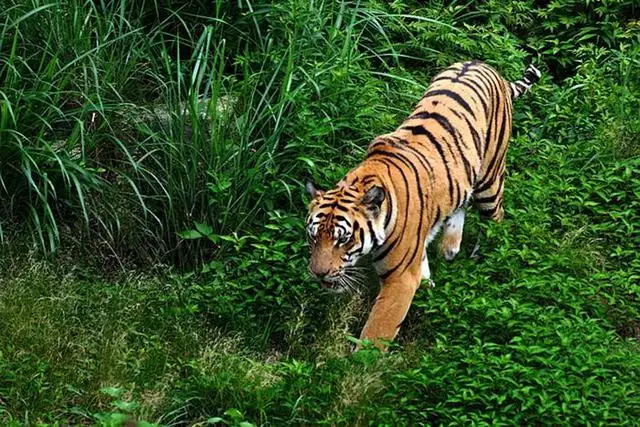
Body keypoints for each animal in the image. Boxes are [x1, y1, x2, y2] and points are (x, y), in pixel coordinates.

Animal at [304, 60, 540, 348]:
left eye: (343, 239)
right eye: (313, 237)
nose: (318, 273)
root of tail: (486, 67)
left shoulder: (400, 280)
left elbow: (375, 334)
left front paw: (359, 359)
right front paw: (429, 284)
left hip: (490, 181)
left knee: (495, 219)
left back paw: (485, 258)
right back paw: (450, 245)